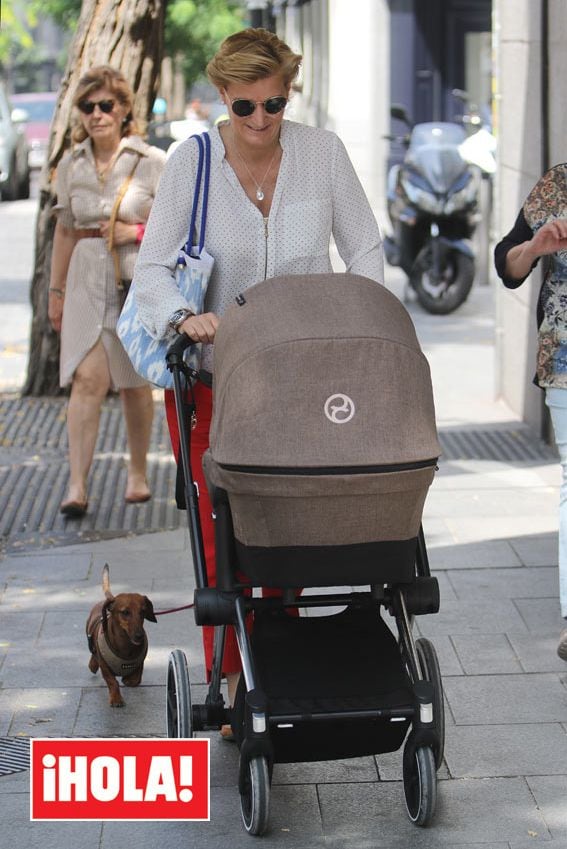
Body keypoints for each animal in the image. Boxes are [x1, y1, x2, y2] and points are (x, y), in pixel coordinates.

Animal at [85, 564, 155, 708]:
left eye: (143, 612)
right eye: (125, 612)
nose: (140, 636)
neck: (125, 646)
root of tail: (108, 599)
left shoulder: (140, 662)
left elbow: (135, 679)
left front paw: (128, 680)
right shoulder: (104, 666)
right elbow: (112, 682)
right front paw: (116, 699)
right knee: (93, 655)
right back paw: (92, 664)